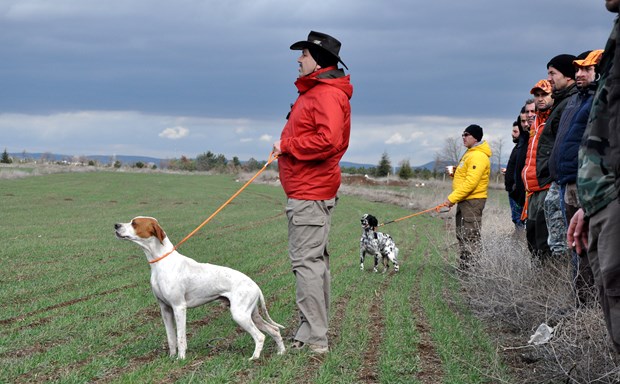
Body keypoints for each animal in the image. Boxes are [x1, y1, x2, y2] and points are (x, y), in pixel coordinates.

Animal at [115, 216, 284, 360]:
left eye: (134, 223)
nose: (116, 225)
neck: (161, 262)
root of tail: (255, 285)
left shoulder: (179, 307)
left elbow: (180, 338)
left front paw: (181, 359)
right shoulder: (165, 309)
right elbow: (171, 338)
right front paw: (171, 358)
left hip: (240, 315)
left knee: (260, 336)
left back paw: (254, 358)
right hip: (252, 315)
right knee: (274, 330)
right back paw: (281, 352)